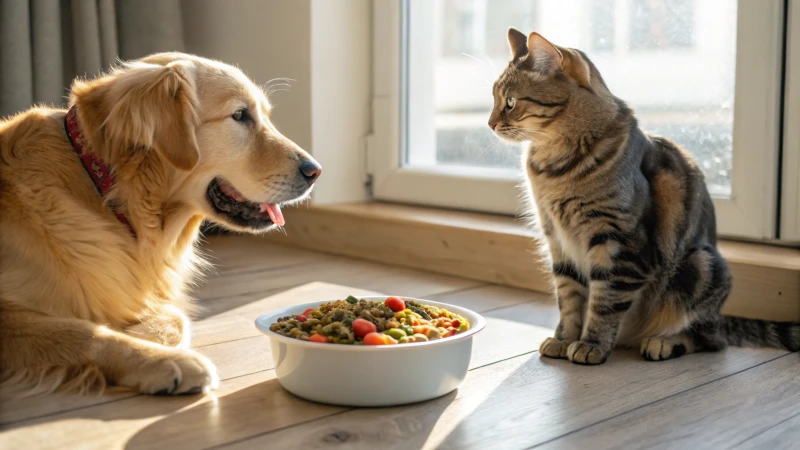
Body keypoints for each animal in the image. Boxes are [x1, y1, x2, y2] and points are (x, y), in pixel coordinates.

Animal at [0, 52, 318, 396]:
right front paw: (163, 359)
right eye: (239, 115)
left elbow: (176, 316)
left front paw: (138, 330)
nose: (315, 171)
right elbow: (85, 333)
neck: (109, 194)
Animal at [488, 29, 800, 366]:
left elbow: (605, 301)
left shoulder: (618, 243)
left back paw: (663, 342)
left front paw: (591, 344)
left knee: (710, 340)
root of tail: (722, 317)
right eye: (494, 99)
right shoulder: (557, 241)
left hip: (699, 266)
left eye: (510, 101)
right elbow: (569, 298)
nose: (489, 123)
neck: (554, 168)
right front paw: (564, 339)